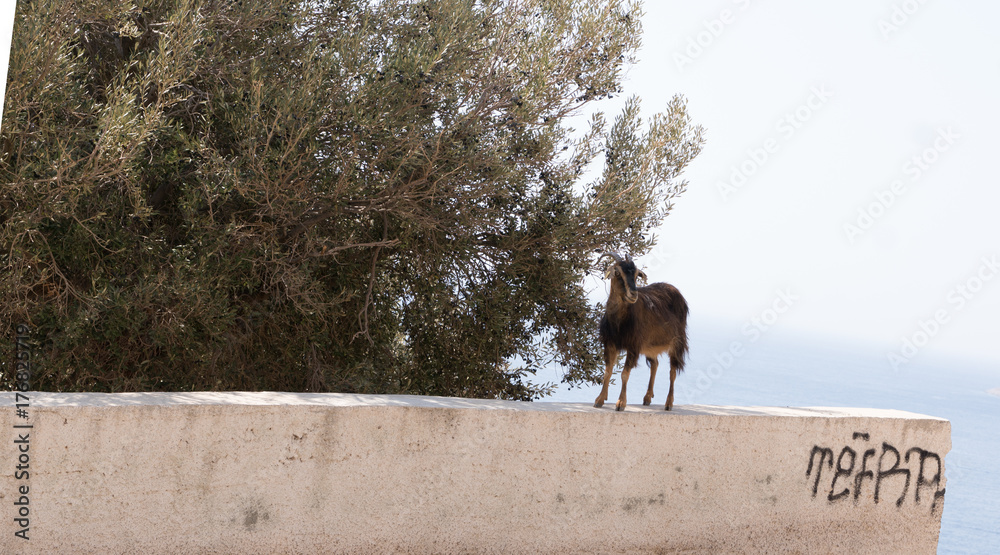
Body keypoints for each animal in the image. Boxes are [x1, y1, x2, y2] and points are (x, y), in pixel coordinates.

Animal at [593, 252, 689, 411]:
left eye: (637, 274)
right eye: (617, 272)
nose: (633, 294)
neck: (619, 322)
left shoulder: (633, 345)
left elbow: (625, 374)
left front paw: (621, 403)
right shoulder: (610, 343)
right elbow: (607, 371)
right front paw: (599, 400)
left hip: (677, 342)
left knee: (673, 372)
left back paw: (668, 403)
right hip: (650, 345)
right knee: (655, 364)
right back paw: (647, 397)